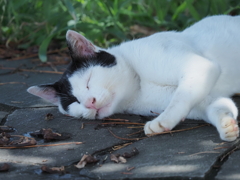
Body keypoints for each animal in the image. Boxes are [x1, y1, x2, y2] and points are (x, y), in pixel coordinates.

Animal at [27, 15, 240, 142]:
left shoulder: (199, 66)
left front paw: (163, 121)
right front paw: (226, 125)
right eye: (74, 102)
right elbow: (216, 105)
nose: (89, 103)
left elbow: (180, 99)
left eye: (88, 81)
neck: (139, 87)